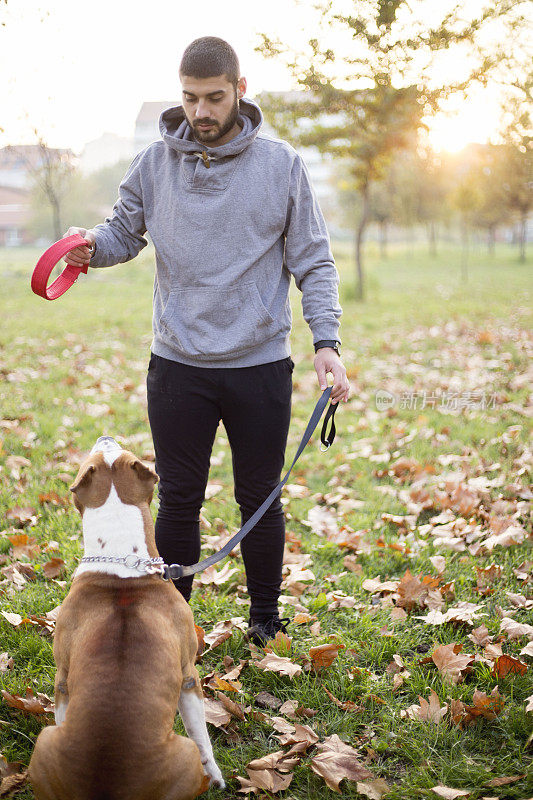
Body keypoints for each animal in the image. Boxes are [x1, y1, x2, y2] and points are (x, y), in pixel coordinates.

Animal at [29, 438, 224, 800]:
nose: (105, 438)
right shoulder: (189, 676)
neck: (123, 565)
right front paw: (214, 774)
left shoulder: (62, 679)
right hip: (183, 749)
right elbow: (201, 735)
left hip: (46, 739)